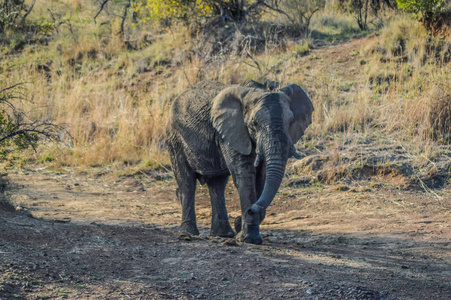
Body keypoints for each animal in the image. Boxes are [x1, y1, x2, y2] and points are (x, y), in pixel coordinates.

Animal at [167, 80, 314, 244]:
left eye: (291, 121)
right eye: (254, 124)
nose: (249, 211)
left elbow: (262, 179)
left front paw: (240, 227)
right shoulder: (230, 133)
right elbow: (245, 176)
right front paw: (248, 238)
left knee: (217, 184)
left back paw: (223, 234)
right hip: (175, 138)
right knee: (187, 182)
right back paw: (189, 233)